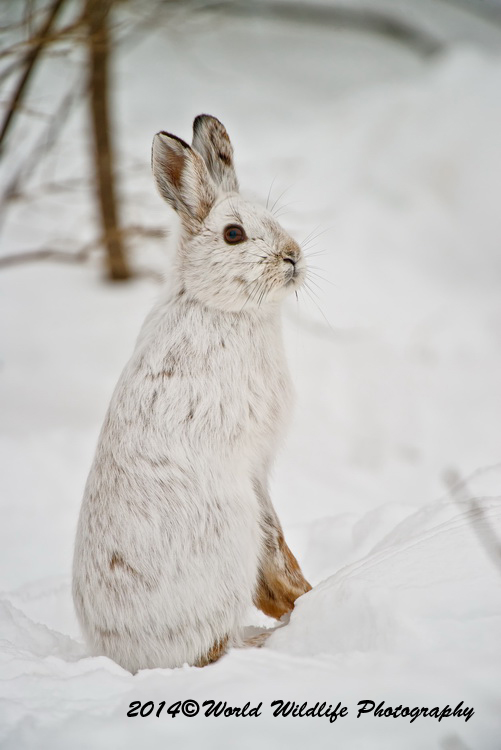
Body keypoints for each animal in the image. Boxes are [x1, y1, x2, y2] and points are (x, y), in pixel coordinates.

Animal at [72, 114, 311, 673]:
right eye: (233, 235)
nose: (292, 256)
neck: (214, 305)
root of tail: (130, 656)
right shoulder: (253, 466)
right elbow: (276, 542)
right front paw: (303, 598)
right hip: (228, 536)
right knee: (213, 649)